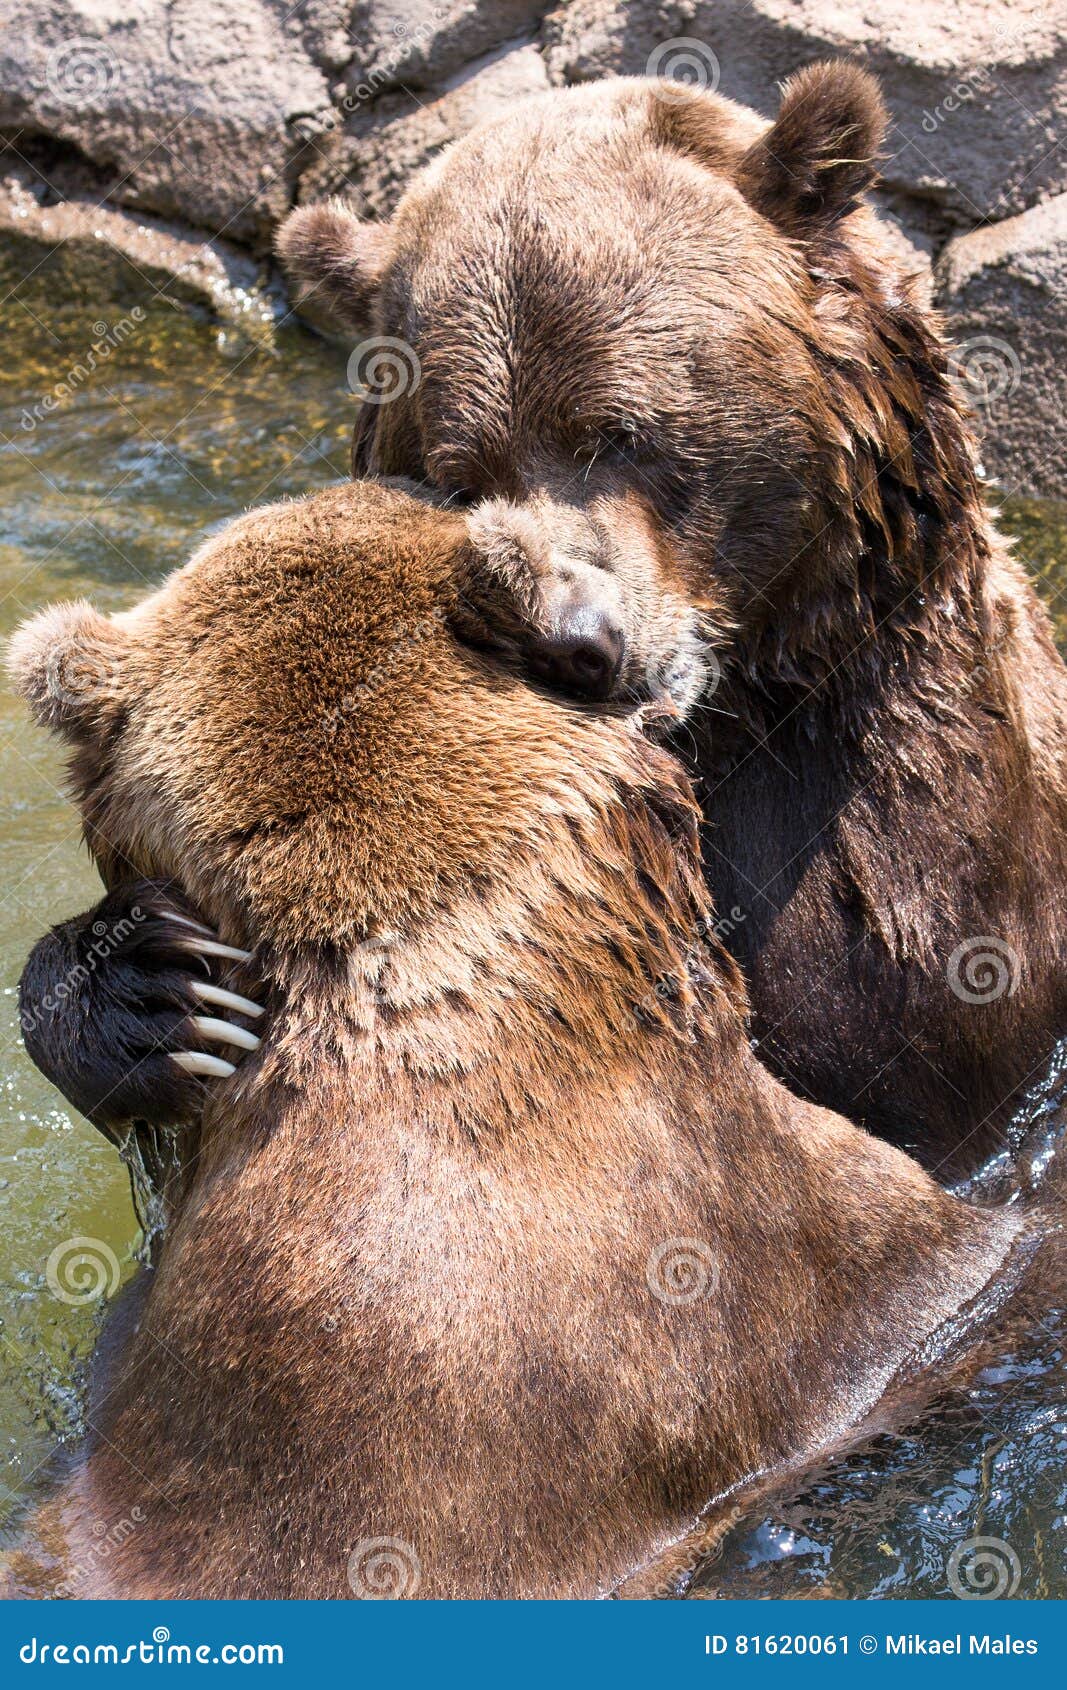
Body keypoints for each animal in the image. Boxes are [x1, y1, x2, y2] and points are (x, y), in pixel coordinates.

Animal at [17, 64, 1067, 1180]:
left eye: (622, 431)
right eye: (459, 470)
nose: (576, 639)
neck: (753, 708)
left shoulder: (907, 873)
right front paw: (153, 990)